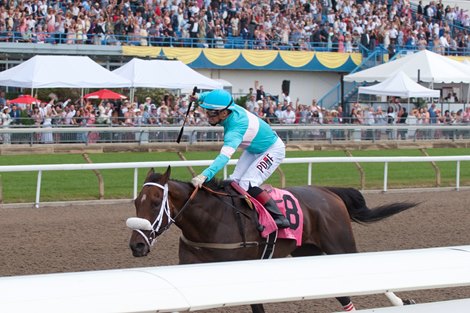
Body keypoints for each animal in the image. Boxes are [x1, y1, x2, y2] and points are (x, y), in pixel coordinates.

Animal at [126, 165, 416, 310]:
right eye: (135, 202)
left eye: (155, 203)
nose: (137, 245)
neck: (211, 220)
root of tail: (328, 191)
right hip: (308, 251)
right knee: (344, 296)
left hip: (340, 246)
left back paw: (401, 301)